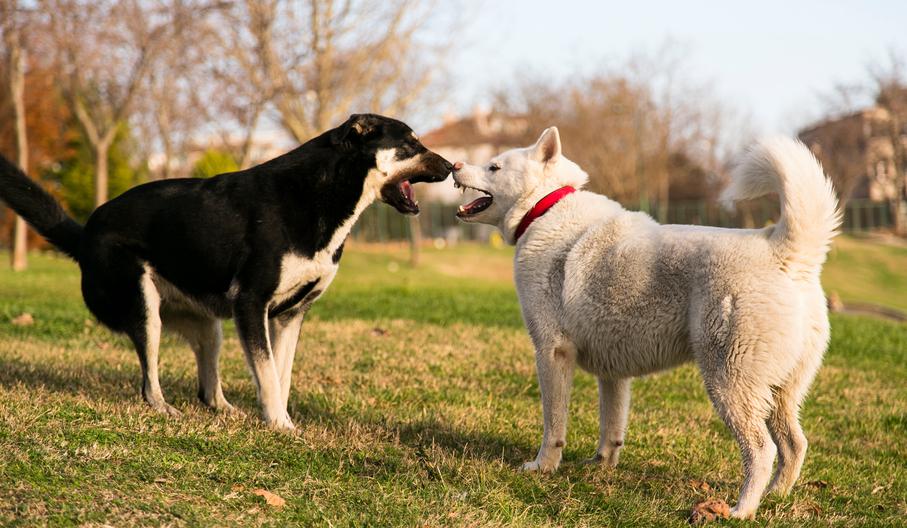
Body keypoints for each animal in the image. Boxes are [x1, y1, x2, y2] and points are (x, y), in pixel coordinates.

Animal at [0, 114, 454, 428]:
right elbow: (268, 375)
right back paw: (165, 407)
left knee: (207, 388)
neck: (325, 191)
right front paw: (281, 426)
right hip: (145, 309)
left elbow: (280, 375)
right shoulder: (251, 305)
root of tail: (85, 233)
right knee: (148, 382)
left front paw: (279, 418)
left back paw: (226, 410)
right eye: (411, 143)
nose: (452, 166)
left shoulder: (289, 316)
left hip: (208, 326)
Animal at [454, 129, 844, 520]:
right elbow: (611, 426)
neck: (544, 209)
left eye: (494, 166)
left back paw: (741, 510)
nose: (455, 164)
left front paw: (543, 467)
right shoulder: (612, 372)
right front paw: (600, 465)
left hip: (730, 385)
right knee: (794, 445)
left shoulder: (552, 353)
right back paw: (775, 497)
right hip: (779, 393)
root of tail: (785, 253)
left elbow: (553, 425)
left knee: (763, 451)